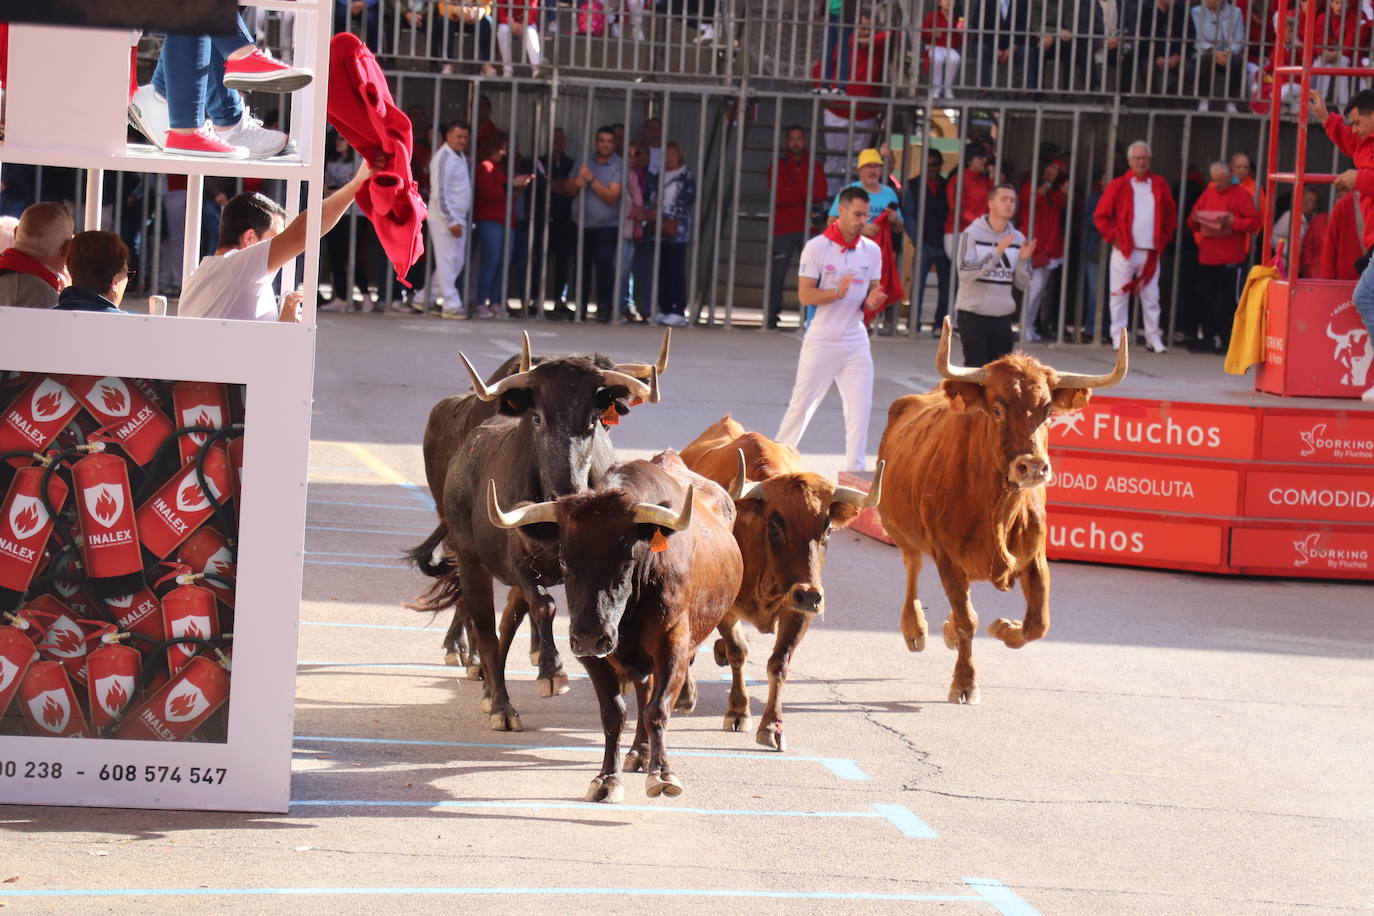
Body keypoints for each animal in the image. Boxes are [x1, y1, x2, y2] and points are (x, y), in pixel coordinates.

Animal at [491, 453, 747, 802]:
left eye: (627, 560)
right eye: (565, 561)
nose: (591, 636)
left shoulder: (674, 644)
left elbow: (657, 709)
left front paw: (662, 773)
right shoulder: (589, 654)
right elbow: (614, 713)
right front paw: (607, 778)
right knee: (642, 691)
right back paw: (638, 752)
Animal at [681, 414, 884, 752]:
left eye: (827, 528)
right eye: (775, 526)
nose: (810, 596)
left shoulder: (798, 612)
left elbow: (779, 664)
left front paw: (772, 726)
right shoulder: (727, 609)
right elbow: (739, 651)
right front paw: (738, 711)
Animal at [879, 318, 1126, 708]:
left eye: (1049, 412)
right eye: (996, 409)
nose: (1033, 467)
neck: (997, 510)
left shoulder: (1035, 558)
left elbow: (1038, 623)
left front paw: (1004, 628)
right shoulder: (948, 560)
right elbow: (968, 620)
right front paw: (965, 683)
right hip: (899, 528)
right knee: (912, 565)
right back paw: (915, 629)